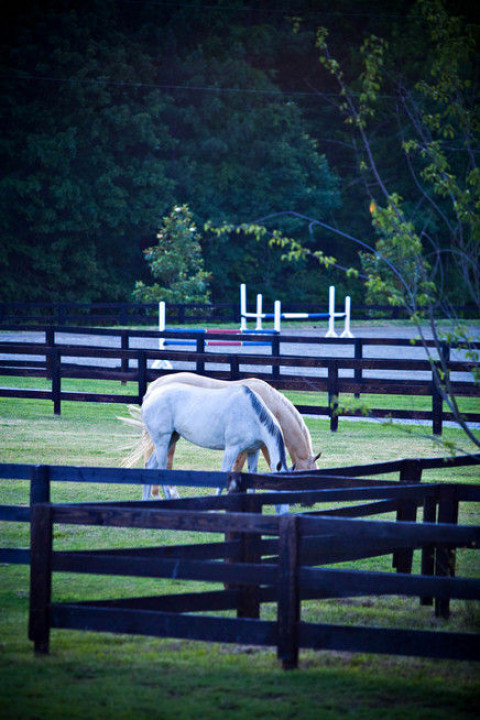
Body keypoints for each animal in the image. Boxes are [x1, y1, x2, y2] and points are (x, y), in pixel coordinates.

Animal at [137, 382, 290, 512]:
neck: (252, 415)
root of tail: (150, 396)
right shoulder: (232, 449)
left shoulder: (253, 451)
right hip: (162, 441)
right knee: (161, 471)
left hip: (171, 439)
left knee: (149, 465)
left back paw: (145, 501)